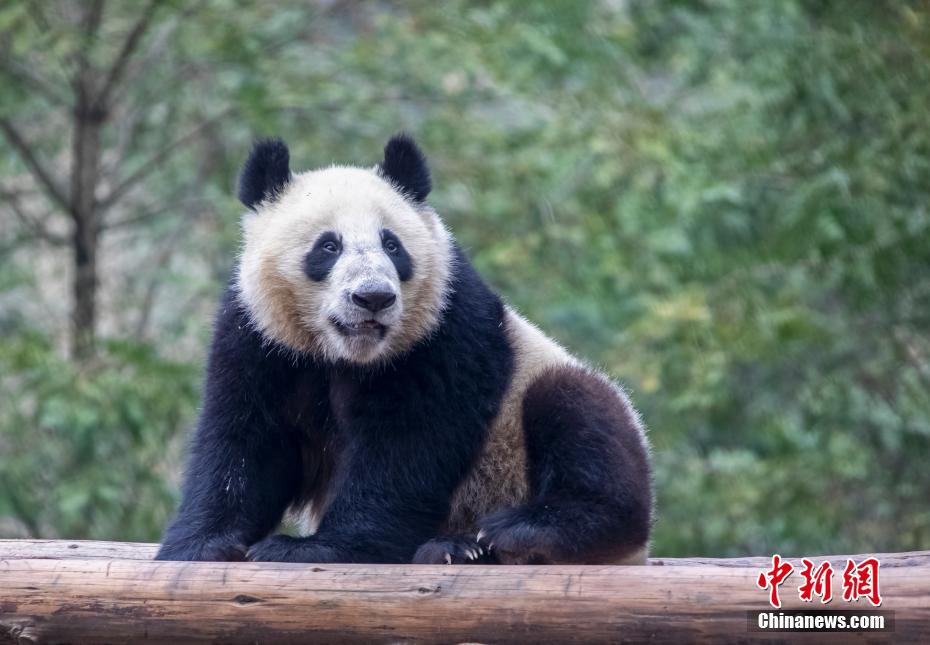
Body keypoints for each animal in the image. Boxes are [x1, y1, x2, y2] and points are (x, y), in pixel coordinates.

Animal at [156, 136, 648, 564]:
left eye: (392, 245)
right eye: (328, 246)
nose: (373, 297)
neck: (344, 354)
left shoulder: (441, 331)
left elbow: (407, 448)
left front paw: (311, 548)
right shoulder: (260, 335)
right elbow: (244, 440)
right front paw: (199, 544)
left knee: (578, 414)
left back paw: (519, 532)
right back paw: (458, 549)